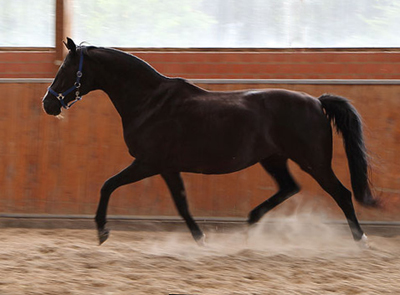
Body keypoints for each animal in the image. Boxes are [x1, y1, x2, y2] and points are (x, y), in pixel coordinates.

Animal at [43, 38, 378, 247]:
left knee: (341, 193)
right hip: (274, 159)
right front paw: (200, 238)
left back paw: (360, 239)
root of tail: (317, 102)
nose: (48, 104)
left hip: (313, 161)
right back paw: (249, 225)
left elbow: (108, 185)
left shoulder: (149, 163)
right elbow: (181, 203)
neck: (151, 102)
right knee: (288, 188)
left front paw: (102, 231)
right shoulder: (167, 167)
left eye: (67, 69)